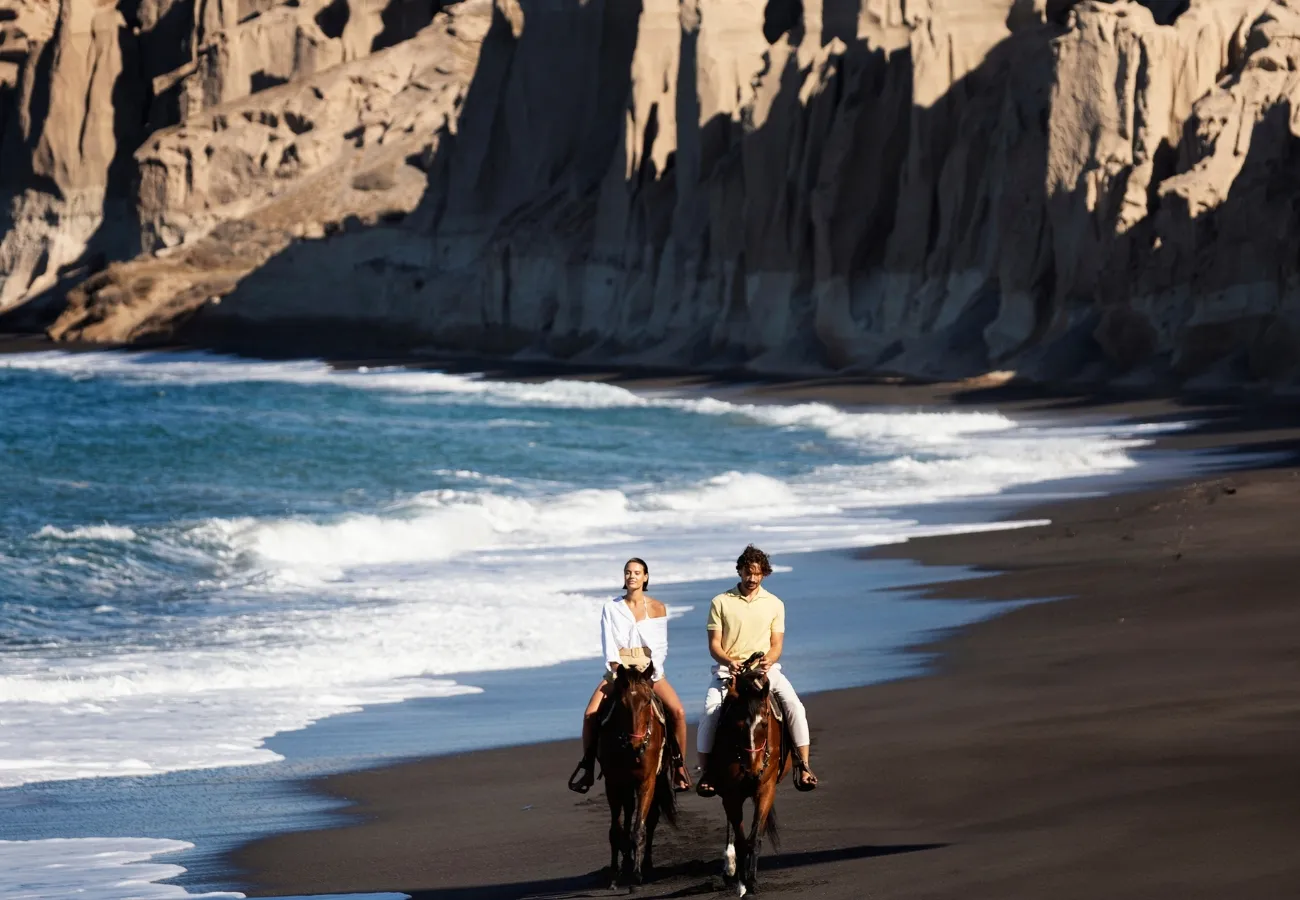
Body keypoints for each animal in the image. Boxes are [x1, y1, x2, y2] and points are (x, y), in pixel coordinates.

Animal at [597, 661, 677, 888]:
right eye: (622, 704)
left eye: (647, 701)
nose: (636, 744)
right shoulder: (613, 783)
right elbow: (616, 831)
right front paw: (614, 875)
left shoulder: (646, 781)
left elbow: (639, 828)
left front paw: (636, 875)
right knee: (627, 816)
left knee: (650, 819)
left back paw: (645, 864)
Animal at [705, 651, 792, 897]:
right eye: (736, 726)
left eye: (764, 723)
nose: (753, 770)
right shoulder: (731, 794)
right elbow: (742, 840)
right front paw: (741, 882)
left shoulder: (765, 789)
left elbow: (754, 839)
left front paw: (751, 881)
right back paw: (730, 866)